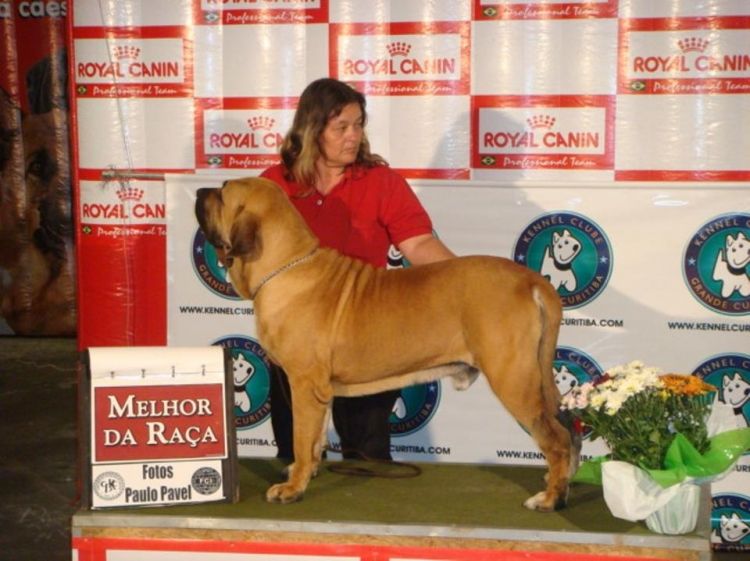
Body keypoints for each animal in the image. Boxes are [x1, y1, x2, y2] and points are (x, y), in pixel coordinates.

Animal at [195, 177, 579, 511]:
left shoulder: (304, 384)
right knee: (566, 429)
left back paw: (550, 498)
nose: (199, 190)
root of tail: (531, 281)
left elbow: (302, 439)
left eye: (223, 191)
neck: (287, 265)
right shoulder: (320, 390)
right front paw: (308, 472)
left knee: (556, 439)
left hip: (514, 380)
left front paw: (292, 488)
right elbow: (315, 438)